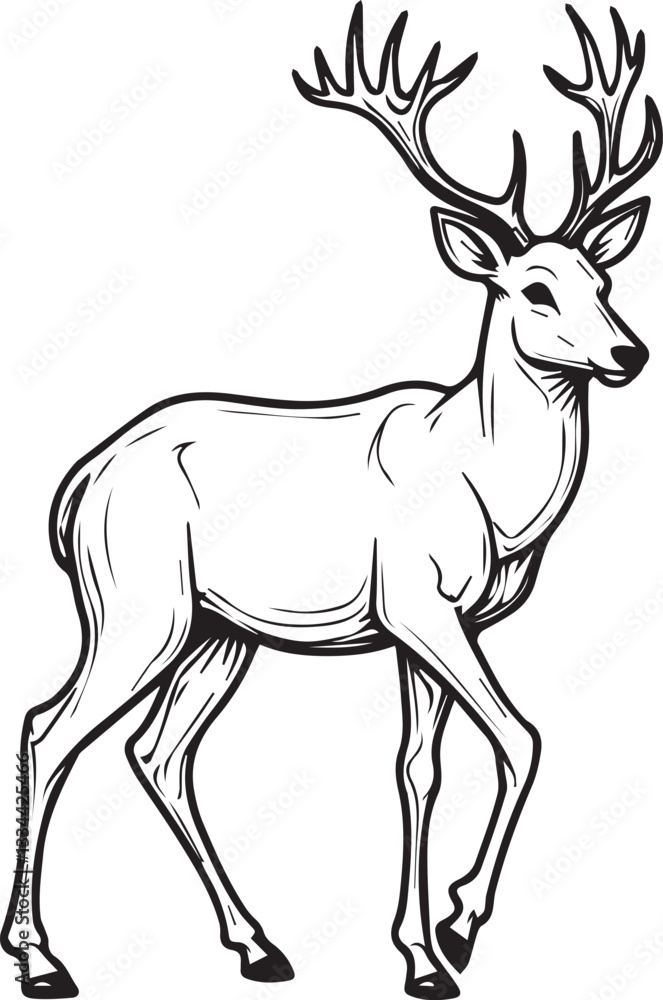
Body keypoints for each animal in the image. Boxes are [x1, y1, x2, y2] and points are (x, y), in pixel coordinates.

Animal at [2, 4, 660, 999]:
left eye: (603, 279)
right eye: (532, 289)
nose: (629, 354)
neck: (488, 489)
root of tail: (80, 481)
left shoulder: (432, 624)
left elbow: (418, 768)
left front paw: (424, 953)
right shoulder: (418, 601)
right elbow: (521, 737)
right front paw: (455, 929)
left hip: (216, 631)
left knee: (158, 750)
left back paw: (259, 946)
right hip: (135, 604)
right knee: (50, 728)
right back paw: (42, 960)